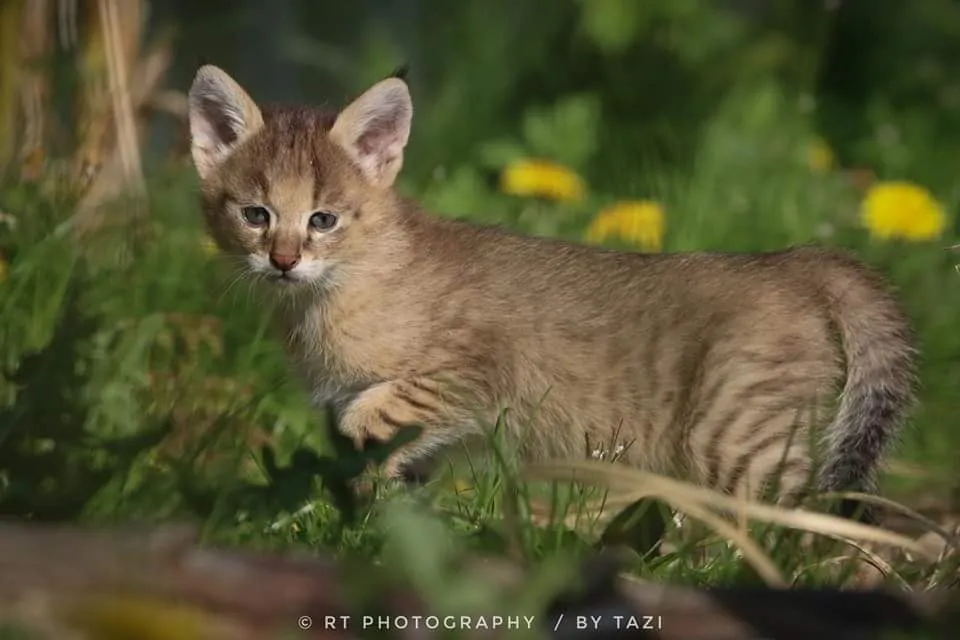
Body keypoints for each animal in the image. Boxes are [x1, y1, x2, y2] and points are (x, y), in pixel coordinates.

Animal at [186, 65, 916, 516]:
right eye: (256, 214)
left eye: (322, 220)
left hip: (735, 439)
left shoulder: (471, 375)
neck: (332, 295)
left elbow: (364, 420)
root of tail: (795, 258)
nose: (282, 260)